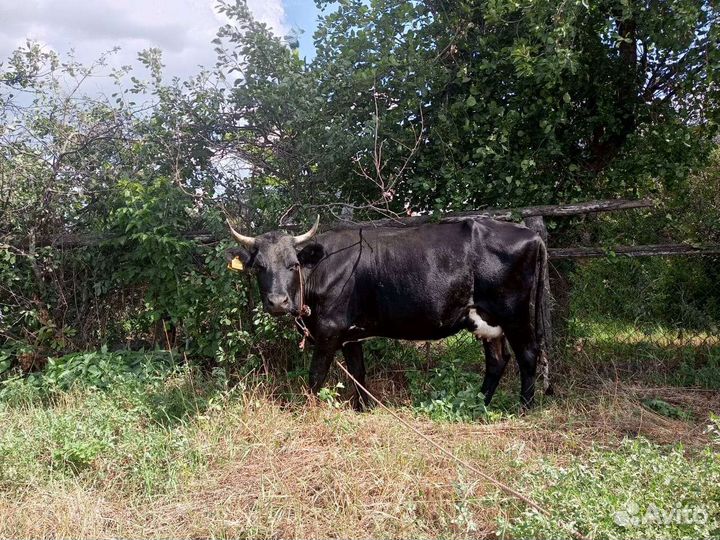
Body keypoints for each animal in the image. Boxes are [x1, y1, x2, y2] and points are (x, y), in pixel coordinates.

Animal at [226, 216, 550, 410]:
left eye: (293, 264)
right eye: (259, 266)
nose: (277, 302)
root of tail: (531, 234)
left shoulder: (328, 331)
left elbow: (316, 375)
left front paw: (306, 409)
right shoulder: (350, 334)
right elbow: (358, 372)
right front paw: (363, 408)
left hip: (514, 313)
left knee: (528, 354)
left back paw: (524, 408)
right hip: (485, 319)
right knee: (497, 360)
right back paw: (477, 404)